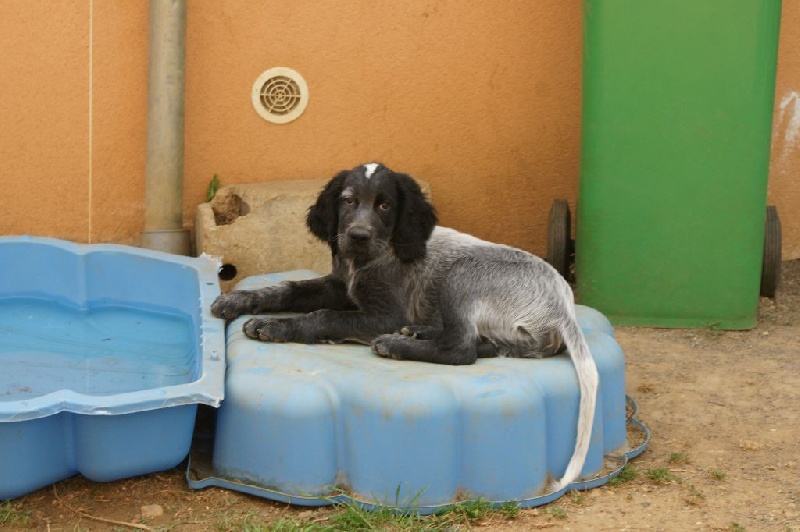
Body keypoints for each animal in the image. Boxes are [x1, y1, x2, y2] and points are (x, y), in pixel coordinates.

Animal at [211, 163, 599, 491]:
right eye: (348, 201)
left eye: (385, 206)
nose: (358, 235)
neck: (368, 260)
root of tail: (563, 304)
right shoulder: (340, 287)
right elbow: (289, 288)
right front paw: (239, 300)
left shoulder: (386, 314)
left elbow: (324, 317)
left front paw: (277, 327)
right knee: (481, 344)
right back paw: (420, 333)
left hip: (462, 275)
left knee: (461, 348)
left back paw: (399, 344)